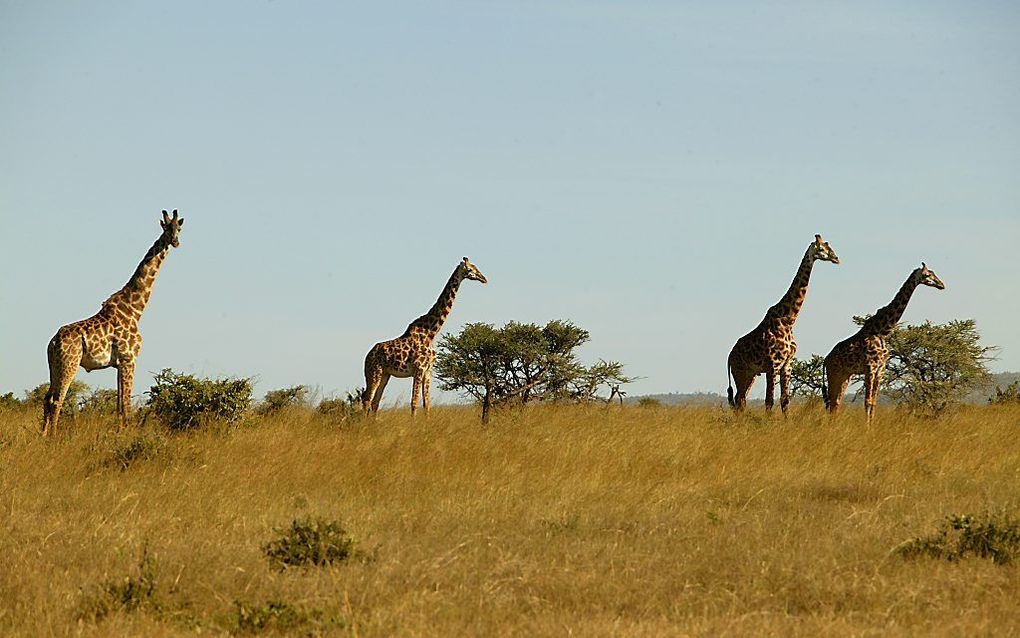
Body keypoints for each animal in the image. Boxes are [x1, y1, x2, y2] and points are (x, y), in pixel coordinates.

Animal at [42, 209, 185, 432]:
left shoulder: (118, 364)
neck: (135, 310)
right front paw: (127, 434)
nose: (175, 242)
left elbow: (119, 406)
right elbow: (126, 405)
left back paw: (43, 435)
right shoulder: (129, 359)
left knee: (47, 398)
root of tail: (54, 341)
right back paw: (54, 436)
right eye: (166, 228)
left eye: (179, 228)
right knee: (57, 399)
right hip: (70, 363)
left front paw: (120, 433)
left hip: (53, 365)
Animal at [363, 256, 485, 416]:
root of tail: (367, 357)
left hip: (385, 374)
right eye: (470, 269)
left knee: (374, 402)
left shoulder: (428, 371)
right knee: (367, 400)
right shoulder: (419, 369)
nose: (484, 279)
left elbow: (426, 404)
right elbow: (414, 403)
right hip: (374, 372)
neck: (431, 332)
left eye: (476, 267)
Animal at [730, 233, 840, 412]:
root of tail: (729, 356)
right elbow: (769, 401)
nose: (837, 258)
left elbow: (784, 400)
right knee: (739, 400)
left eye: (830, 247)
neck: (789, 320)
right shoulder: (773, 364)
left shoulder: (787, 364)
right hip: (739, 371)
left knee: (740, 400)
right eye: (822, 249)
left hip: (750, 374)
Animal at [820, 261, 946, 420]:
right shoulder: (870, 367)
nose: (942, 284)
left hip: (845, 375)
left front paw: (871, 425)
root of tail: (825, 360)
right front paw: (867, 426)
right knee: (832, 402)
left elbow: (873, 403)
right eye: (928, 274)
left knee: (835, 403)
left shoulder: (880, 369)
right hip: (834, 374)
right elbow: (867, 401)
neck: (882, 331)